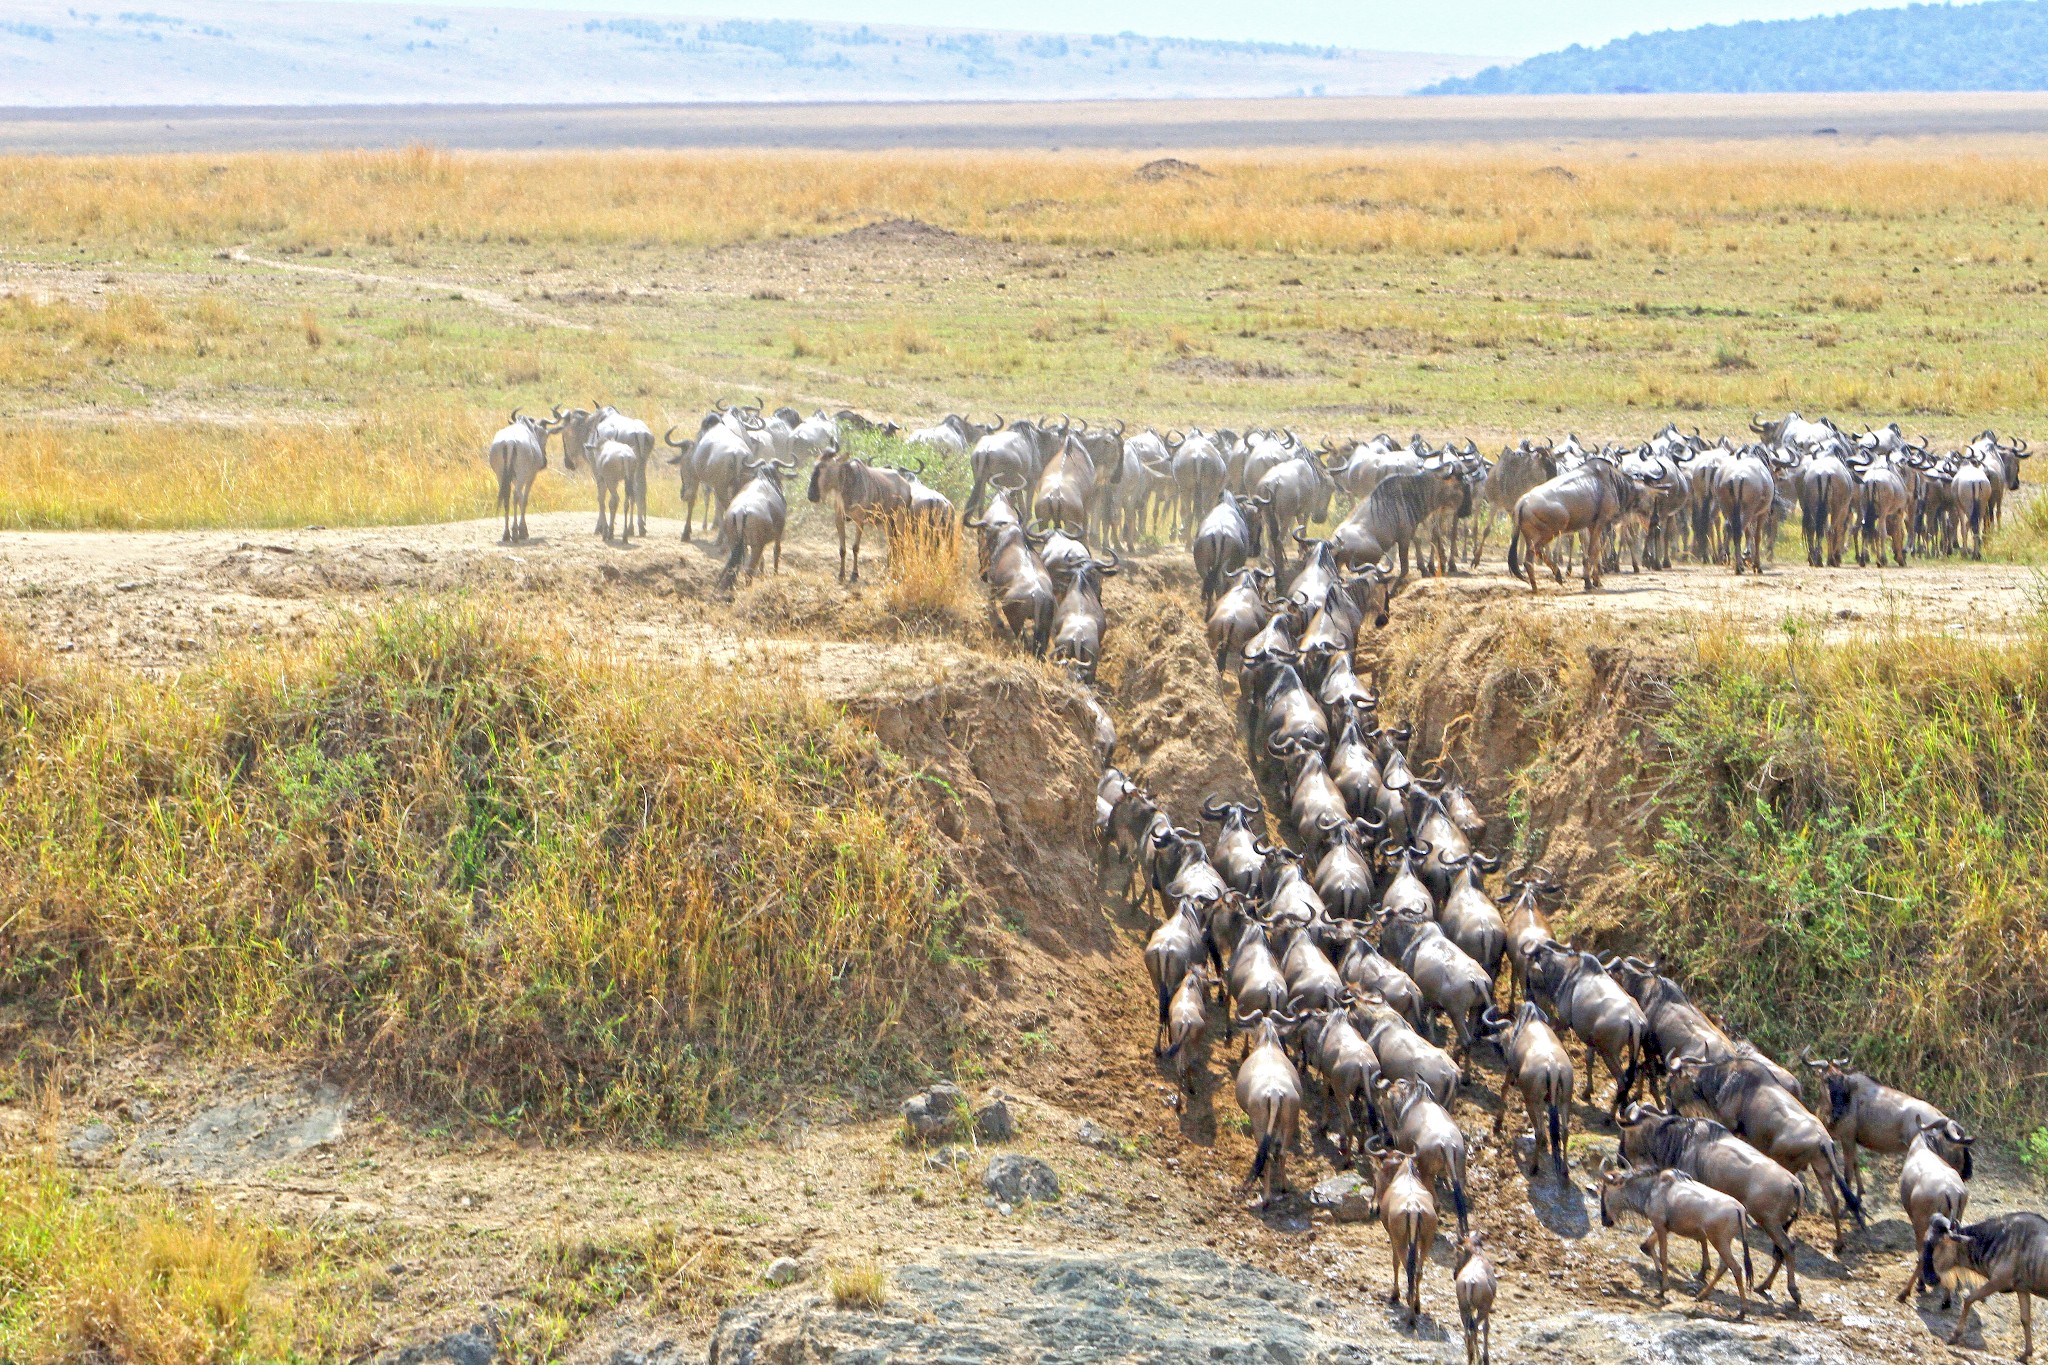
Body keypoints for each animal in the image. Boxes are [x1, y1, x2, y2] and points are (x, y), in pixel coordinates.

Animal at [1916, 1211, 2048, 1358]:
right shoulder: (2022, 1289)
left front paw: (1954, 1337)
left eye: (1939, 1244)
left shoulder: (1997, 1282)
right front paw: (2026, 1354)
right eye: (1925, 1241)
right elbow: (2025, 1319)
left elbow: (1969, 1299)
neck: (2001, 1239)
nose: (1929, 1278)